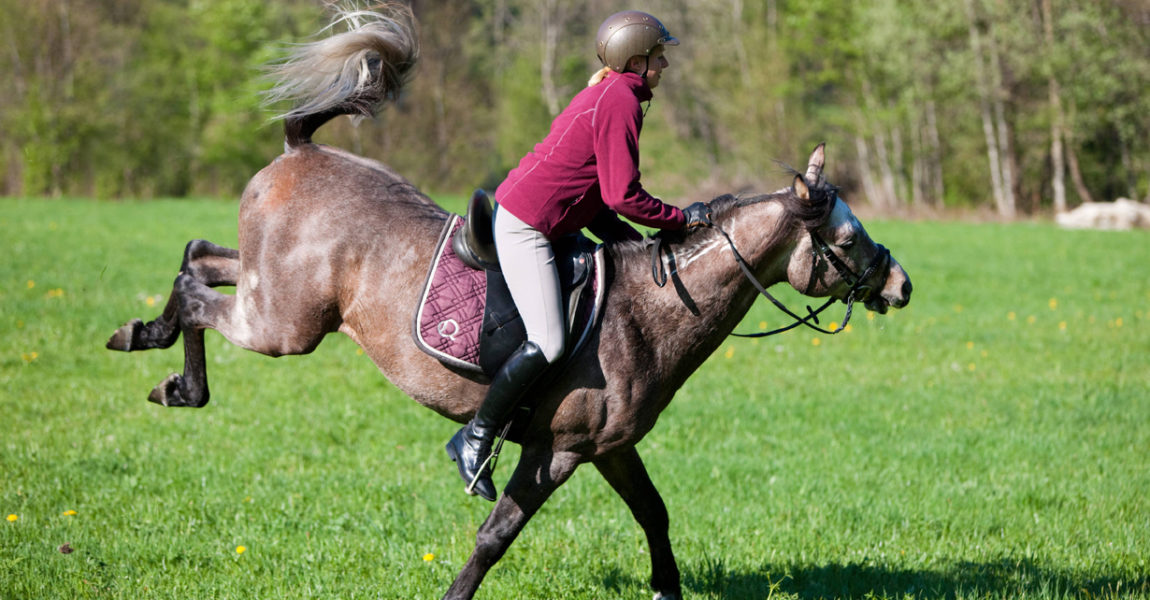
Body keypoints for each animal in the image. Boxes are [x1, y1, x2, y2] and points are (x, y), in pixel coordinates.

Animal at [105, 5, 915, 597]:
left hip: (274, 288)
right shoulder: (557, 451)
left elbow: (655, 515)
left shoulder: (609, 447)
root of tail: (304, 149)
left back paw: (154, 347)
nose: (902, 285)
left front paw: (666, 588)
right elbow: (497, 534)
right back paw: (168, 367)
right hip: (286, 322)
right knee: (199, 293)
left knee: (199, 258)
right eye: (849, 236)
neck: (650, 314)